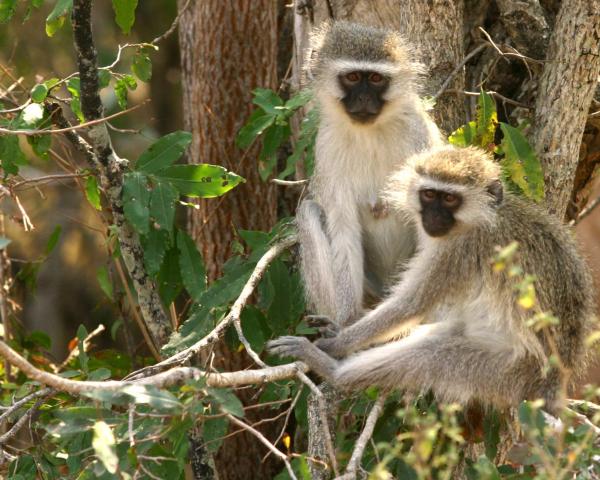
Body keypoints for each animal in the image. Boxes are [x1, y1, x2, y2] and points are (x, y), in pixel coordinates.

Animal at [272, 144, 596, 410]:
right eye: (429, 194)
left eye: (450, 199)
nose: (433, 217)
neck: (482, 218)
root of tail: (554, 382)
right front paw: (336, 330)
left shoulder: (458, 251)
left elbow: (409, 305)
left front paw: (334, 344)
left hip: (507, 371)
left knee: (430, 355)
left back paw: (333, 371)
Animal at [298, 21, 442, 326]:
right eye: (352, 77)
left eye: (376, 79)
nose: (364, 98)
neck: (369, 132)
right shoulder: (326, 147)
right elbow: (343, 229)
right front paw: (347, 323)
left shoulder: (418, 135)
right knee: (308, 212)